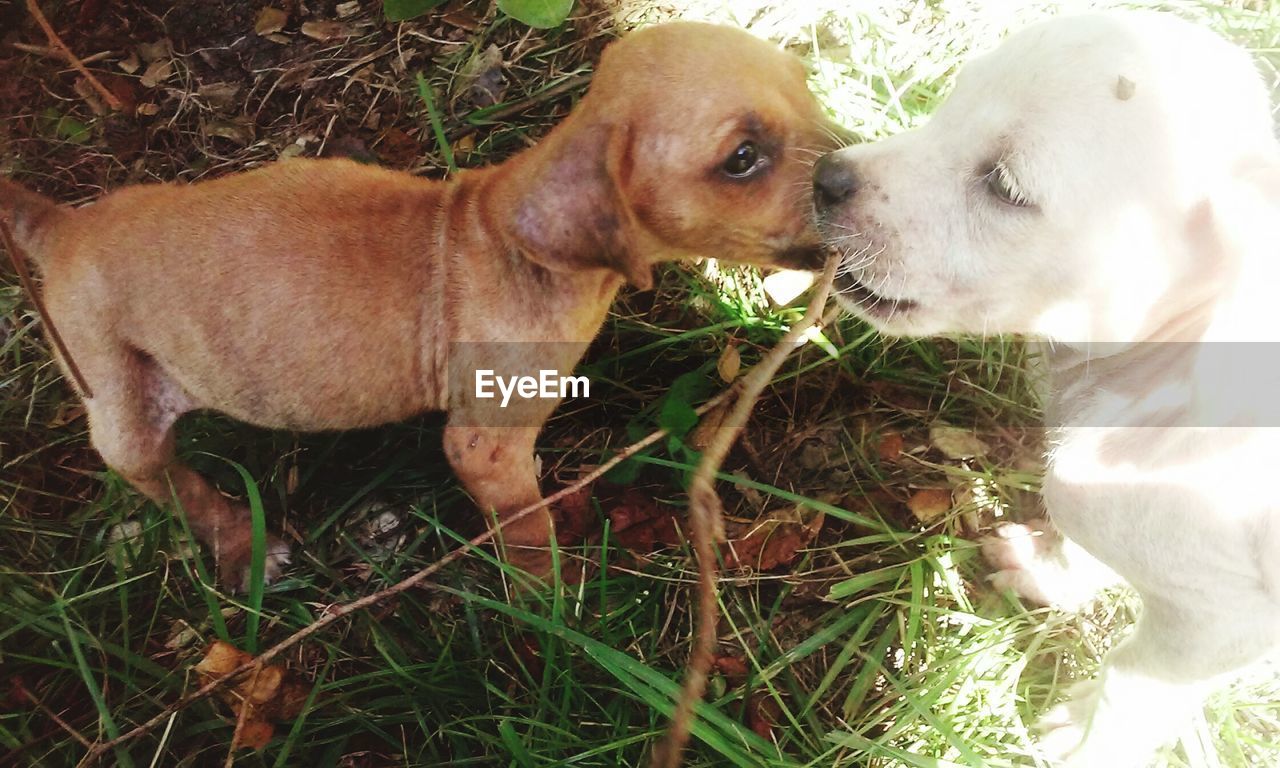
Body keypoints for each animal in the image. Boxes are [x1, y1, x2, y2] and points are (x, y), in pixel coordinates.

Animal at [0, 22, 834, 588]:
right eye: (741, 159)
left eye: (811, 94)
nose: (852, 176)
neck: (519, 245)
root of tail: (65, 226)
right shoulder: (483, 445)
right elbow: (526, 532)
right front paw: (556, 609)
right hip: (117, 400)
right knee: (167, 480)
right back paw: (242, 543)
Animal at [814, 12, 1280, 768]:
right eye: (954, 100)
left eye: (1006, 186)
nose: (824, 177)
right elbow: (1078, 541)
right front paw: (1044, 572)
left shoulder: (1224, 622)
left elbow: (1134, 680)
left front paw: (1088, 738)